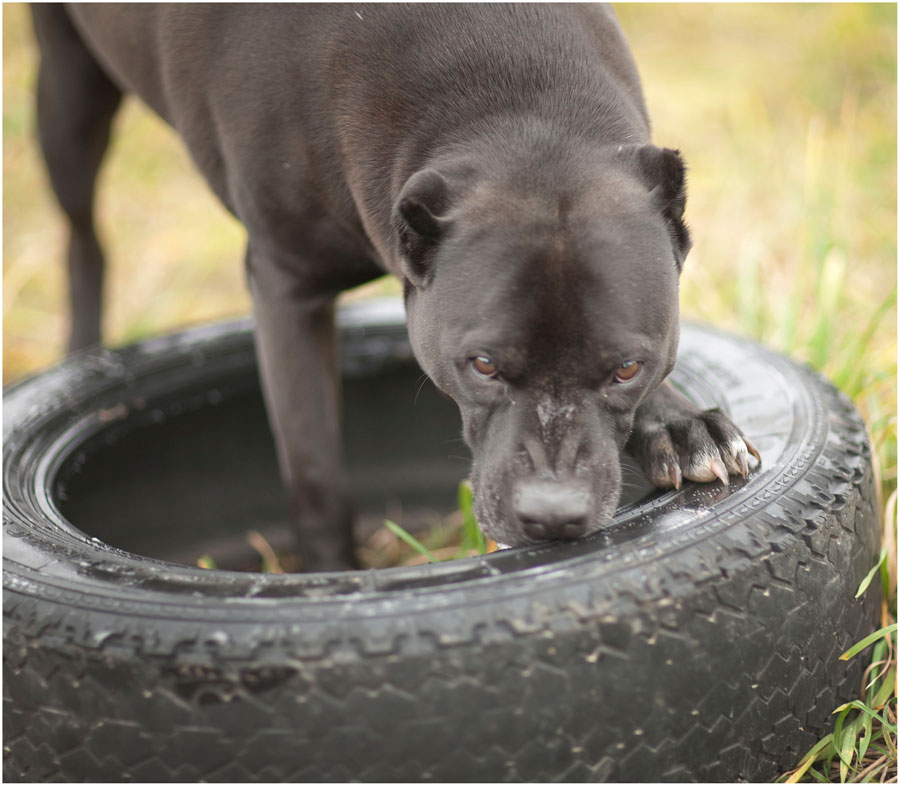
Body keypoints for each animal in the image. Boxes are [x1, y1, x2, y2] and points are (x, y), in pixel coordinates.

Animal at [31, 4, 756, 568]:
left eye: (627, 368)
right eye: (482, 365)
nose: (553, 516)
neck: (518, 109)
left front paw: (684, 425)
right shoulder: (284, 290)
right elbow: (317, 476)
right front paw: (332, 580)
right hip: (67, 99)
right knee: (82, 236)